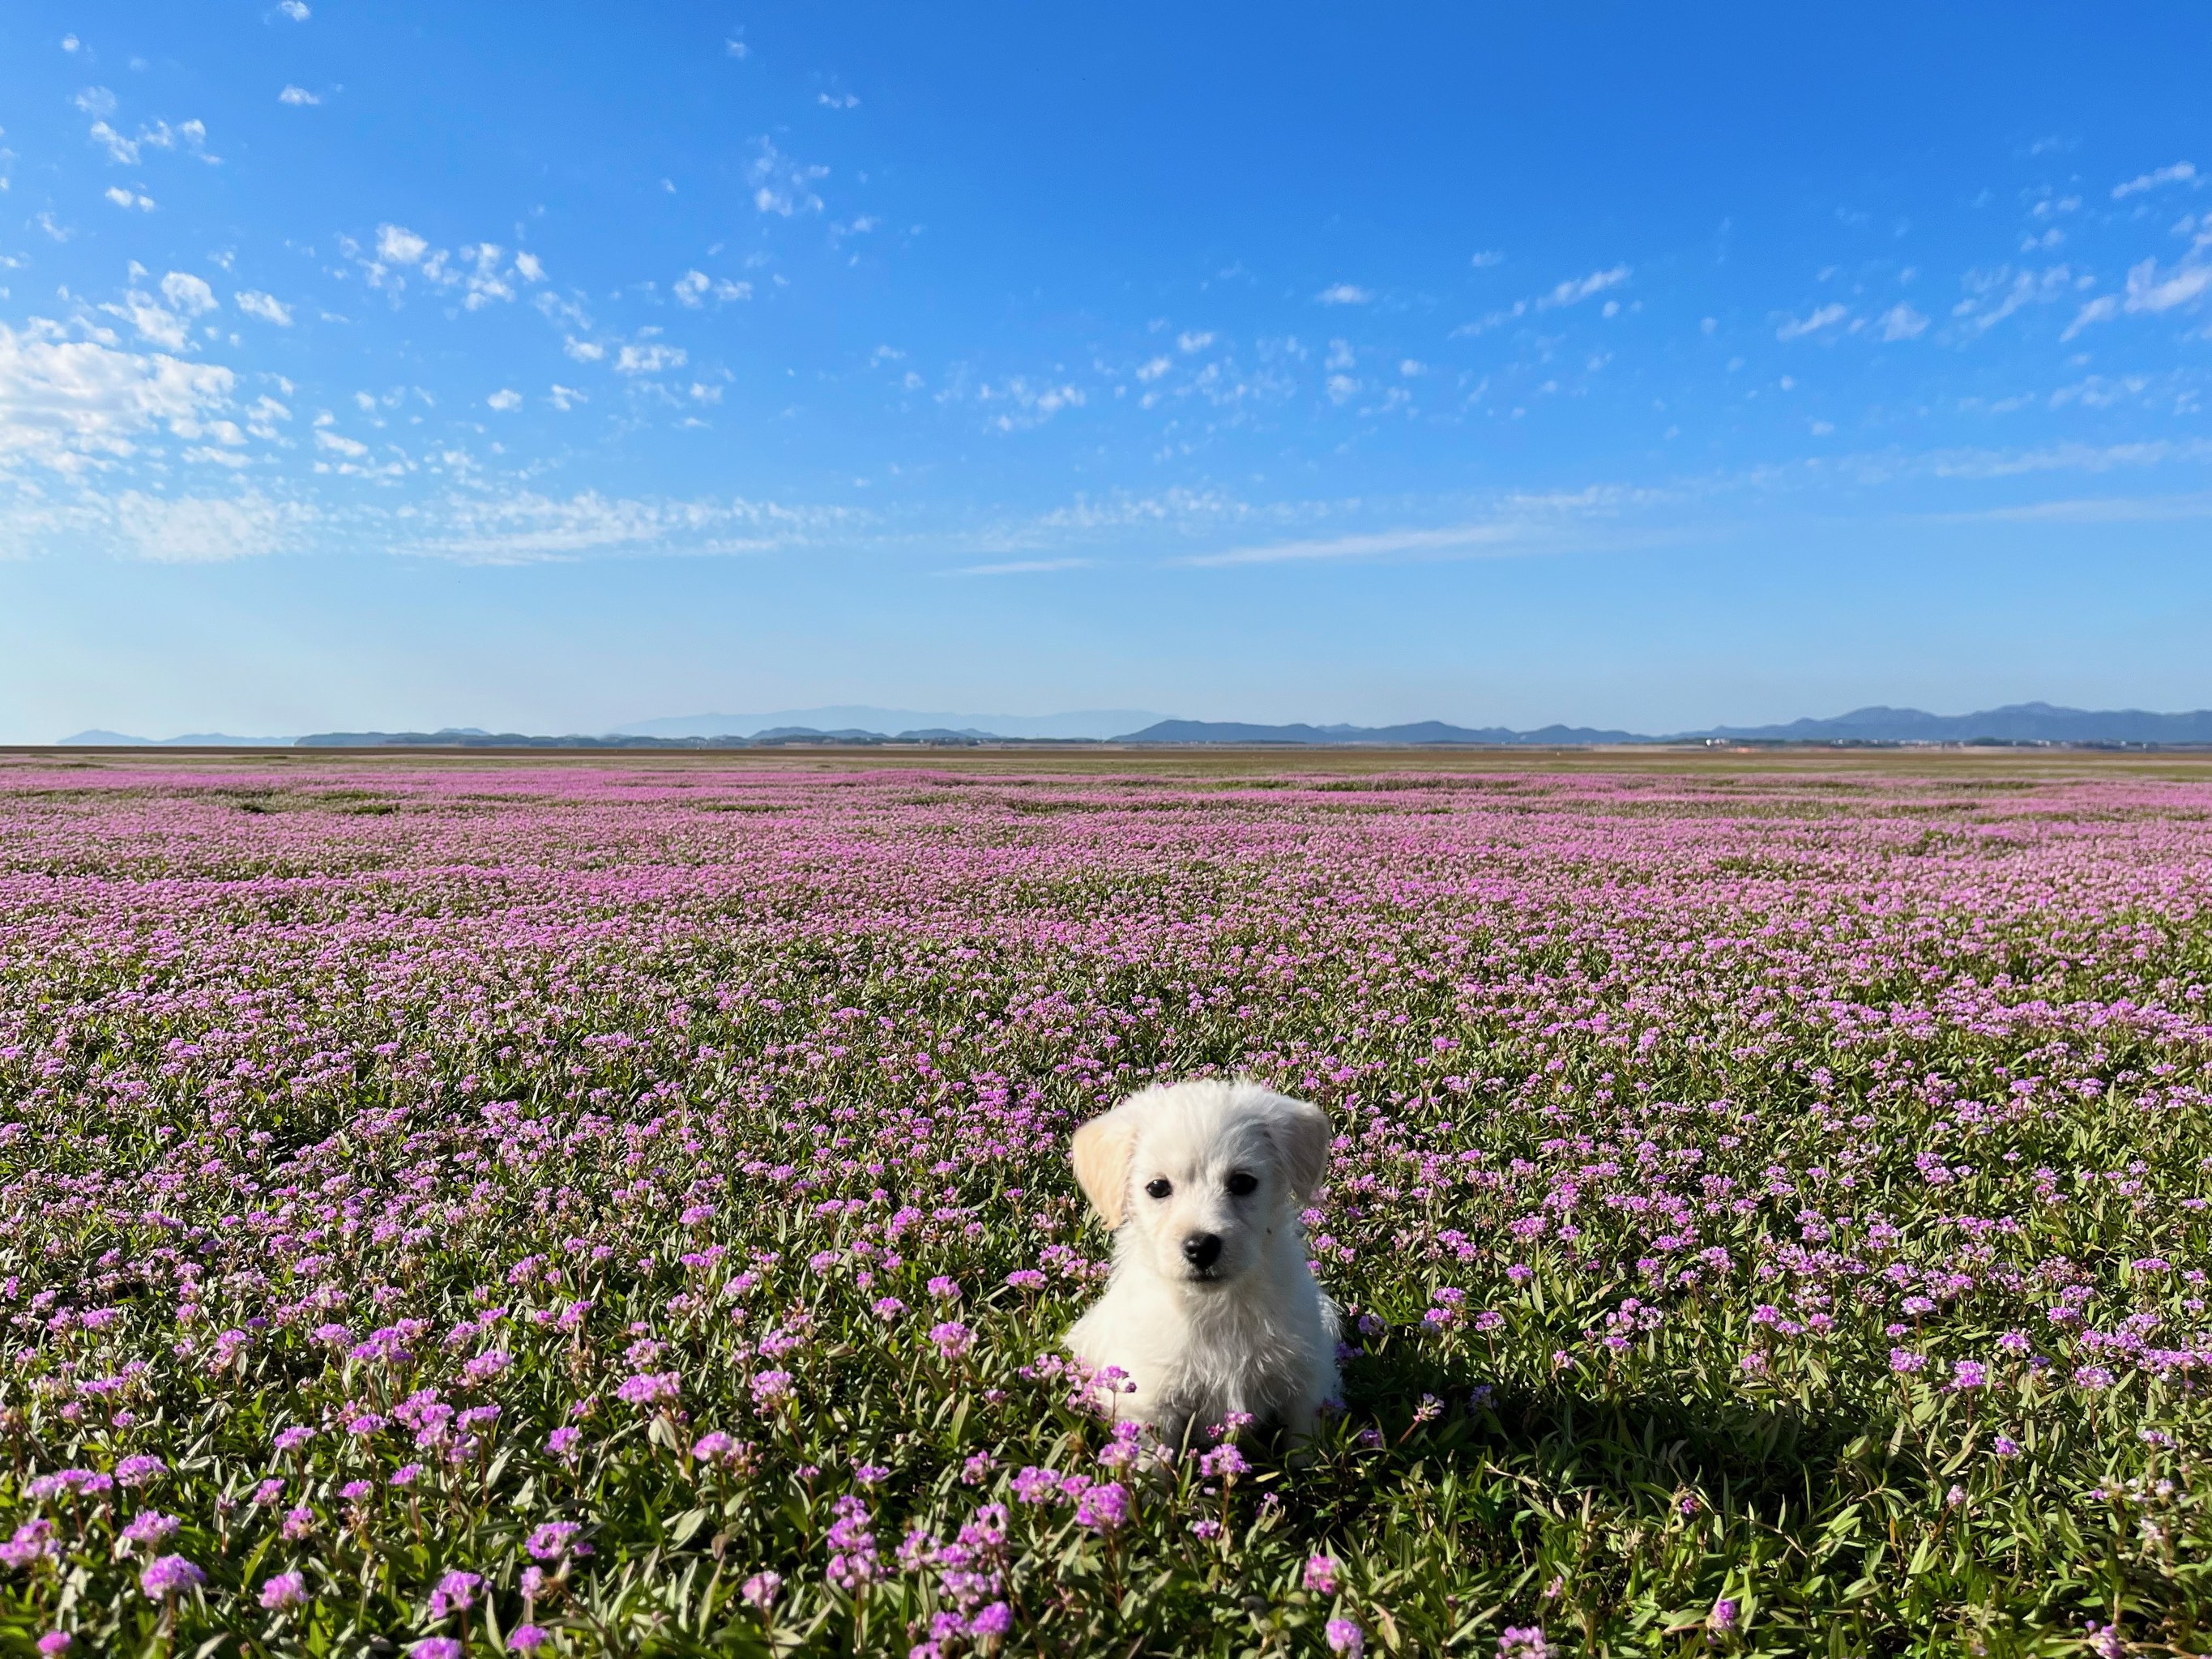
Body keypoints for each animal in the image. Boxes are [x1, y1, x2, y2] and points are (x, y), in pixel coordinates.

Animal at [1061, 1079, 1335, 1451]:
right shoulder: (1148, 1402)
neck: (1214, 1307)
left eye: (1242, 1182)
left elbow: (1304, 1447)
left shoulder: (1307, 1383)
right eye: (1158, 1187)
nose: (1201, 1247)